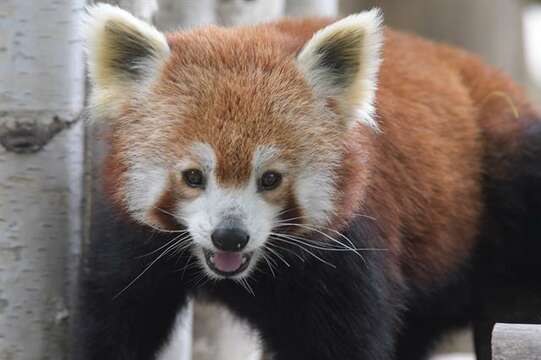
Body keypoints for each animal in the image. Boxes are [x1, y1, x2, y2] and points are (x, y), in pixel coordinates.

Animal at [79, 3, 540, 360]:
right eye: (193, 176)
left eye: (270, 179)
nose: (230, 236)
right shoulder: (131, 242)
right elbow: (114, 320)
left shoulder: (347, 251)